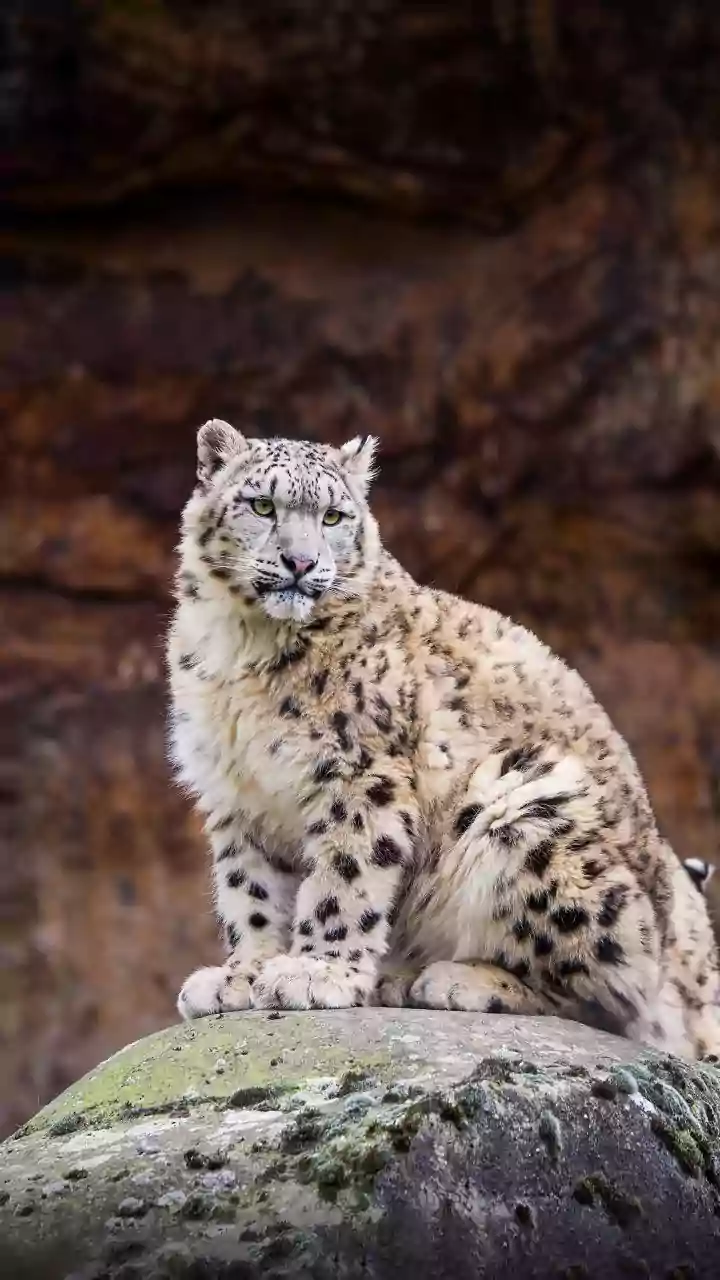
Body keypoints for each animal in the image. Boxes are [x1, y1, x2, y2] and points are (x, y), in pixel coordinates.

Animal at [167, 419, 720, 1060]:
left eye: (333, 516)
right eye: (261, 505)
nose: (301, 562)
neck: (243, 646)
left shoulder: (361, 771)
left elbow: (344, 874)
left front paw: (315, 972)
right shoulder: (236, 792)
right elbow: (249, 888)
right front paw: (243, 974)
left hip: (532, 810)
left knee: (609, 999)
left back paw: (454, 979)